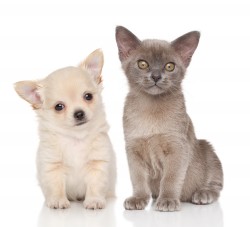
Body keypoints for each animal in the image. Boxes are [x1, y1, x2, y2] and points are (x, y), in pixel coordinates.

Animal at [15, 49, 116, 209]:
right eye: (59, 107)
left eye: (88, 96)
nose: (79, 113)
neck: (76, 137)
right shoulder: (52, 166)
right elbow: (56, 186)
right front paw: (57, 200)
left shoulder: (98, 163)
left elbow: (95, 185)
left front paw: (94, 200)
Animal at [115, 26, 223, 211]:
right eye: (143, 64)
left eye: (169, 66)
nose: (156, 76)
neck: (150, 109)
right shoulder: (133, 149)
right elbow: (137, 179)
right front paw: (138, 199)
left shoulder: (177, 148)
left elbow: (170, 178)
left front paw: (167, 200)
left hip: (207, 148)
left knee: (215, 184)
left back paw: (202, 194)